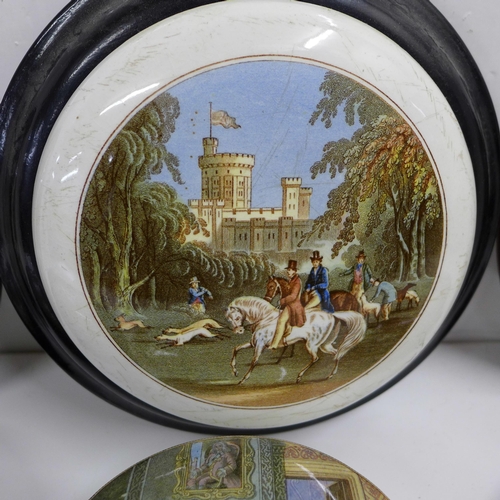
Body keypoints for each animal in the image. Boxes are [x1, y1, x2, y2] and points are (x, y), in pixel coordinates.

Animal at [225, 296, 366, 384]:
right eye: (229, 319)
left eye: (236, 317)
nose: (239, 331)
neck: (265, 318)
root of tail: (332, 315)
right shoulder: (253, 343)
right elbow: (235, 349)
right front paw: (234, 371)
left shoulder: (260, 345)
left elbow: (254, 361)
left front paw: (243, 379)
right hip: (324, 345)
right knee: (337, 353)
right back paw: (331, 375)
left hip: (311, 345)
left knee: (315, 358)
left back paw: (299, 376)